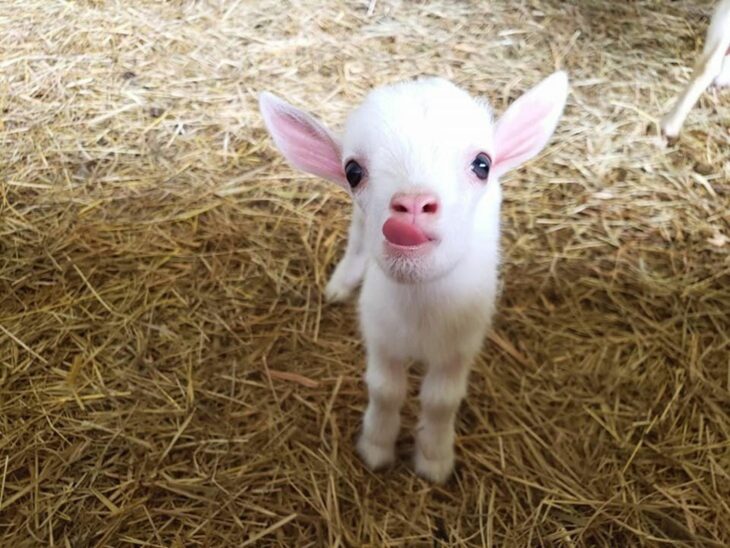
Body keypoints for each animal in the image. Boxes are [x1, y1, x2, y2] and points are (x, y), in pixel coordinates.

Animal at [258, 70, 564, 482]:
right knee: (357, 240)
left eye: (482, 164)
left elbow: (440, 401)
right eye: (352, 172)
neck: (420, 309)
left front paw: (434, 459)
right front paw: (376, 447)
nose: (413, 204)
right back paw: (341, 283)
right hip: (359, 223)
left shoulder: (460, 347)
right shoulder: (380, 336)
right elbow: (385, 391)